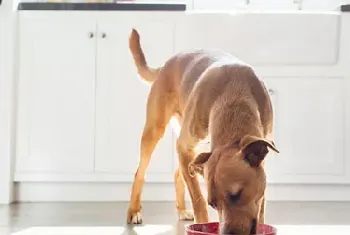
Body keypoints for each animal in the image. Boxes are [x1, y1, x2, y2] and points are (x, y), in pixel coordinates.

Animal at [126, 28, 278, 234]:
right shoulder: (185, 148)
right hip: (155, 131)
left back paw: (182, 210)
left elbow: (260, 205)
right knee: (141, 173)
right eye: (213, 204)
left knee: (178, 174)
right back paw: (134, 211)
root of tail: (165, 65)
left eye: (237, 194)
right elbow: (198, 199)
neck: (234, 96)